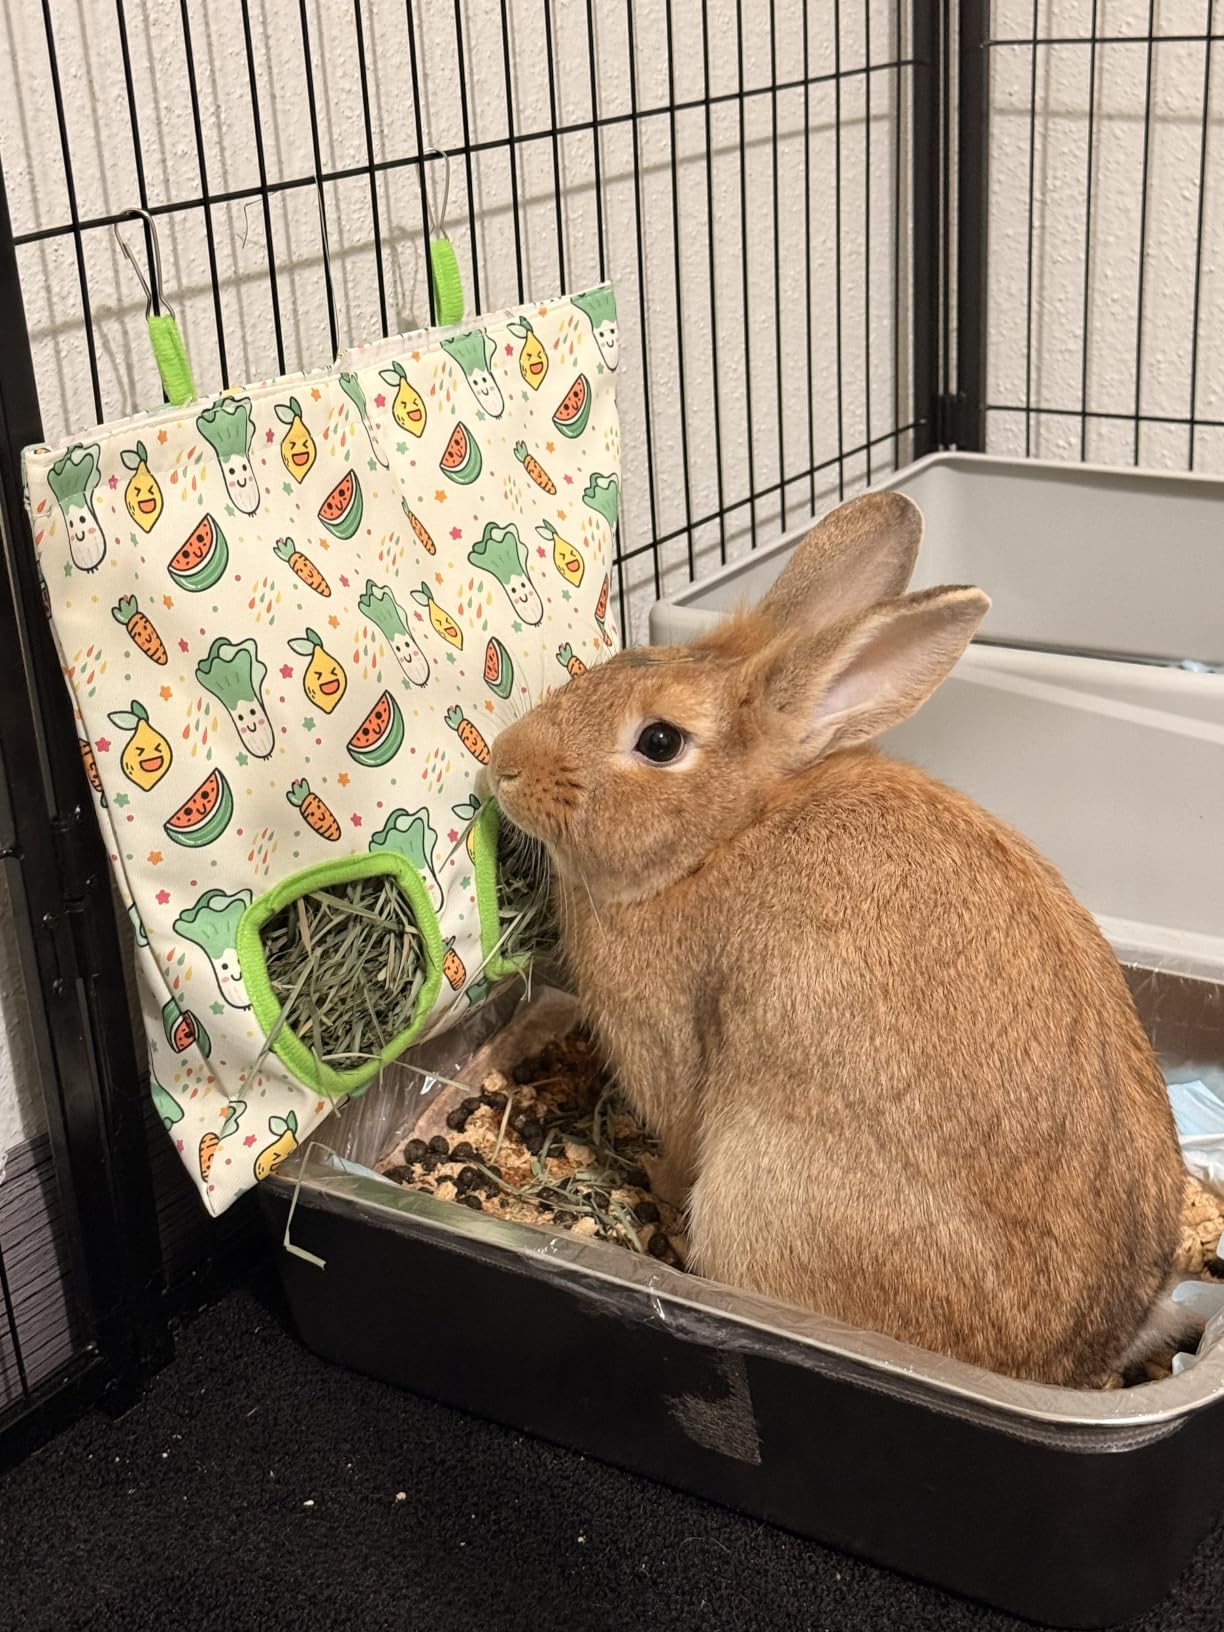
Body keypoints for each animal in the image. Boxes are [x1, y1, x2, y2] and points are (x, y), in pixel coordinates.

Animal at [487, 491, 1187, 1388]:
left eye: (660, 742)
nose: (502, 765)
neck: (720, 838)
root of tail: (1063, 1363)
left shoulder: (671, 1060)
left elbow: (676, 1137)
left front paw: (650, 1176)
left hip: (757, 1193)